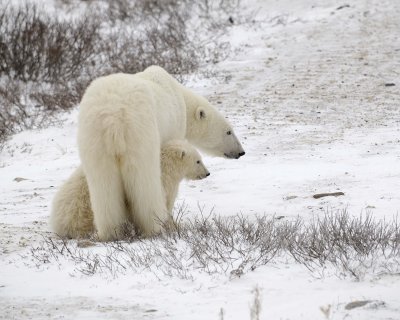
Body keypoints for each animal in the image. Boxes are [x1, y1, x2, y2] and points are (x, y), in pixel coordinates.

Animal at [50, 139, 209, 238]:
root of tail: (57, 221)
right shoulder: (158, 183)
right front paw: (174, 226)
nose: (207, 173)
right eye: (198, 161)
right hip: (82, 210)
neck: (165, 165)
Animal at [77, 65, 244, 240]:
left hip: (94, 138)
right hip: (139, 131)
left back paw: (111, 232)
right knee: (145, 180)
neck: (181, 98)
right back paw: (154, 226)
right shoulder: (173, 126)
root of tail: (111, 117)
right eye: (229, 132)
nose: (241, 152)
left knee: (103, 184)